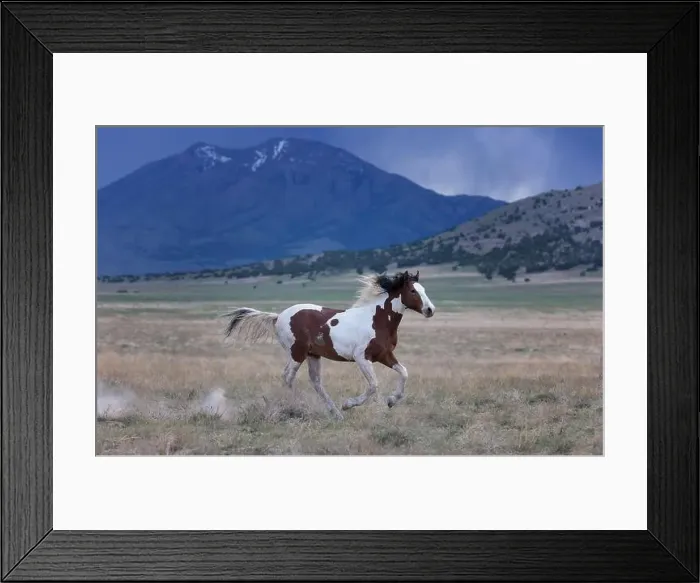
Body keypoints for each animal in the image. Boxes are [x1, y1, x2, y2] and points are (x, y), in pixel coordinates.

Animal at [221, 270, 436, 420]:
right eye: (413, 291)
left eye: (424, 290)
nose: (430, 310)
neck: (377, 319)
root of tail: (278, 316)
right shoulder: (361, 357)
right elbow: (373, 385)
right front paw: (348, 404)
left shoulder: (384, 355)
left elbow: (404, 372)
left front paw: (392, 401)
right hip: (297, 353)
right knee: (287, 376)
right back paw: (299, 406)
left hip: (313, 355)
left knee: (315, 382)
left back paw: (335, 414)